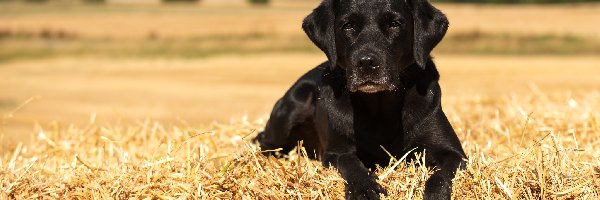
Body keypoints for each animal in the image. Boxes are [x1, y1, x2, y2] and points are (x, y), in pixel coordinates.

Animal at [251, 0, 466, 198]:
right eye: (348, 25)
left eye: (394, 24)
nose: (367, 63)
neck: (380, 107)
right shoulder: (336, 152)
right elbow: (351, 163)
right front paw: (364, 188)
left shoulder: (453, 153)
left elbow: (441, 176)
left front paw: (436, 194)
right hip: (295, 105)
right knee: (264, 142)